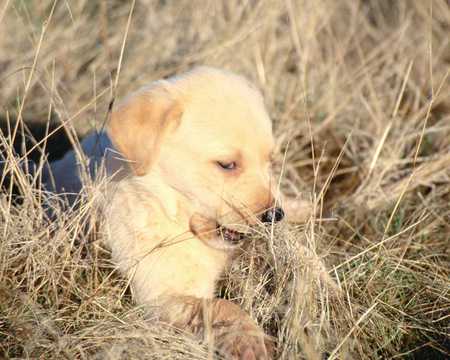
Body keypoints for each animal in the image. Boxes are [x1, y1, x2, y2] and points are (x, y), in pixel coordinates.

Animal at [45, 67, 286, 358]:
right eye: (227, 165)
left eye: (270, 162)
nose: (275, 216)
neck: (166, 207)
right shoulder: (161, 296)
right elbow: (222, 306)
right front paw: (252, 341)